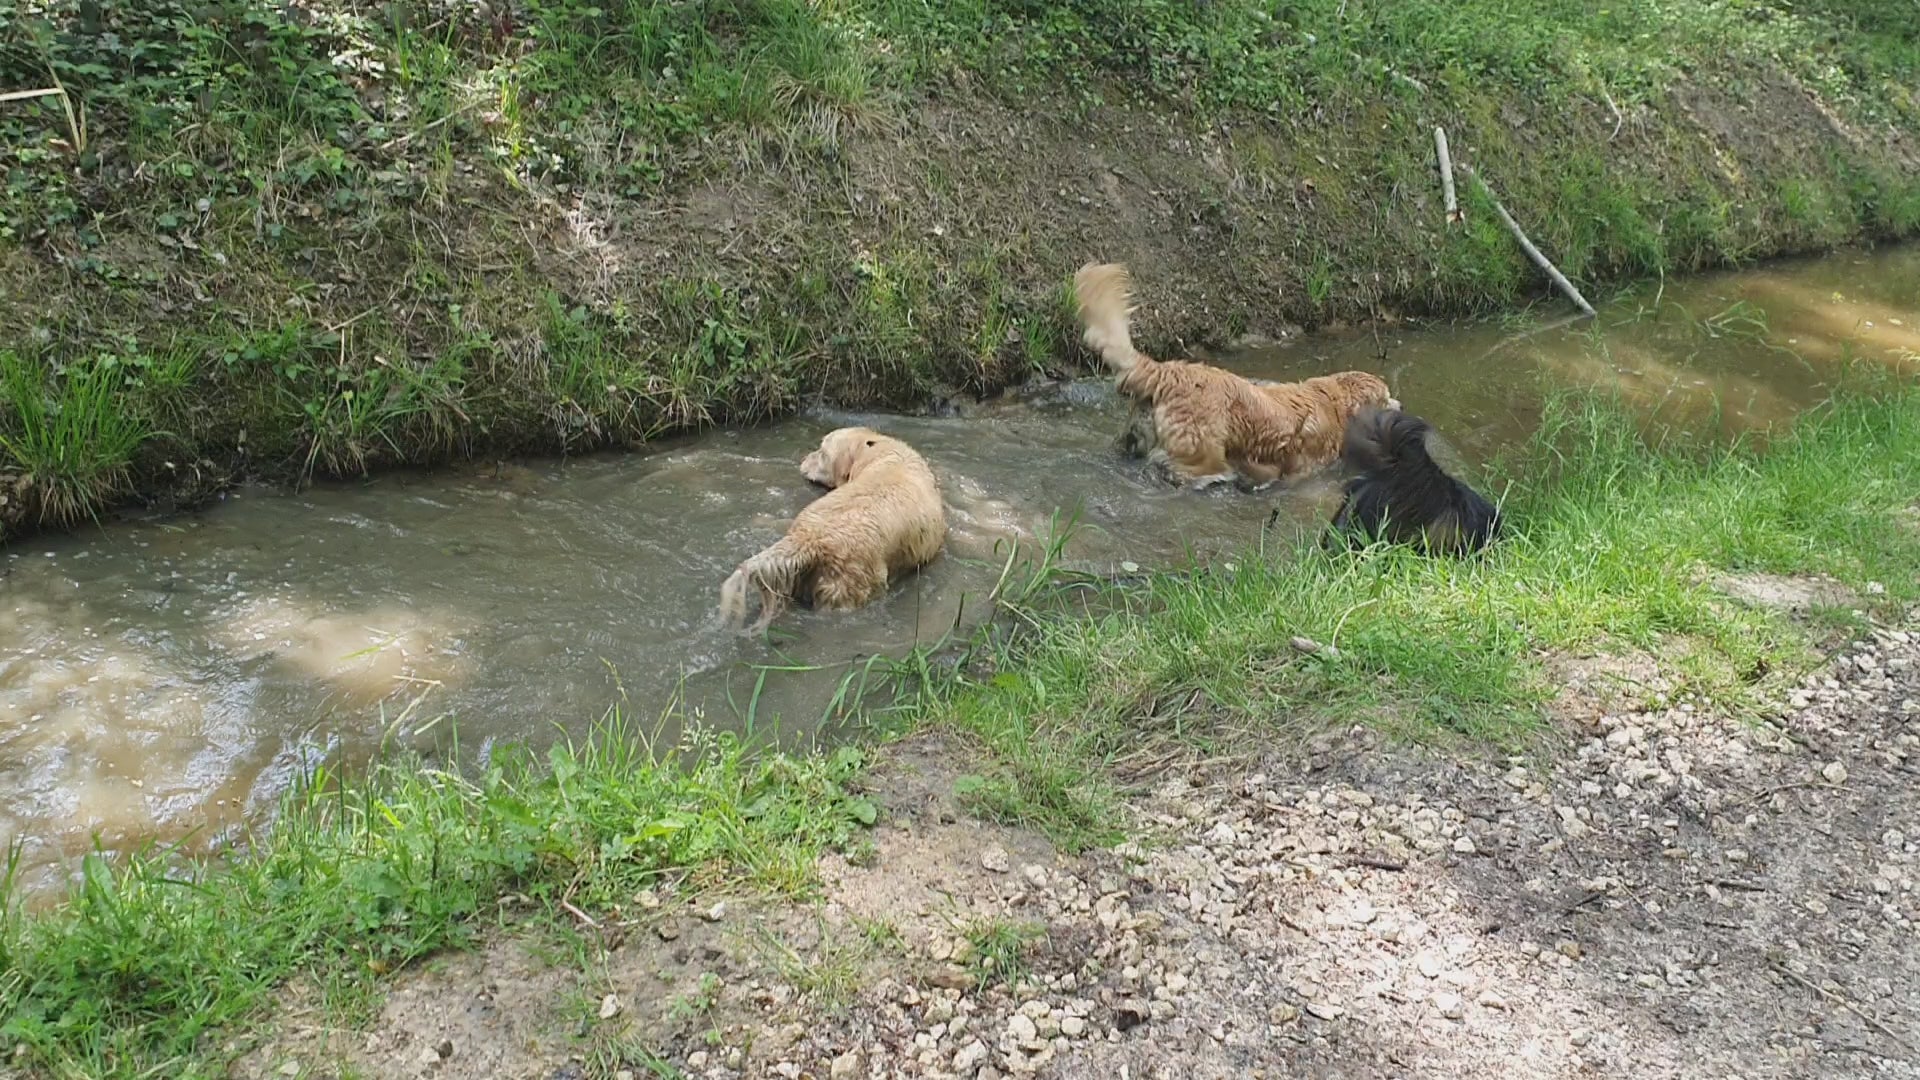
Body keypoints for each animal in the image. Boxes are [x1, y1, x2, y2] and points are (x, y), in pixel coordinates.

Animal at [1082, 261, 1397, 484]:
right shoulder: (1304, 470)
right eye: (1385, 398)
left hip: (1136, 434)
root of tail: (1167, 371)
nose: (1400, 405)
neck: (1334, 405)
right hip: (1203, 451)